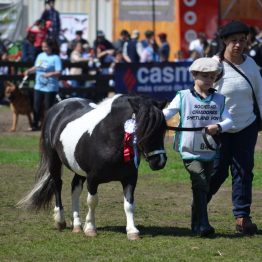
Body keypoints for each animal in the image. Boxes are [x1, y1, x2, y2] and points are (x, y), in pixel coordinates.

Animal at [18, 93, 167, 239]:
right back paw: (60, 221)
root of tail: (57, 107)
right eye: (142, 128)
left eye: (163, 129)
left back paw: (77, 225)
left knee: (75, 188)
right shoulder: (92, 179)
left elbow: (129, 204)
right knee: (58, 185)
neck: (108, 137)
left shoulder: (130, 178)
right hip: (54, 161)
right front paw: (90, 228)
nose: (159, 161)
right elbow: (92, 201)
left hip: (78, 169)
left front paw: (132, 231)